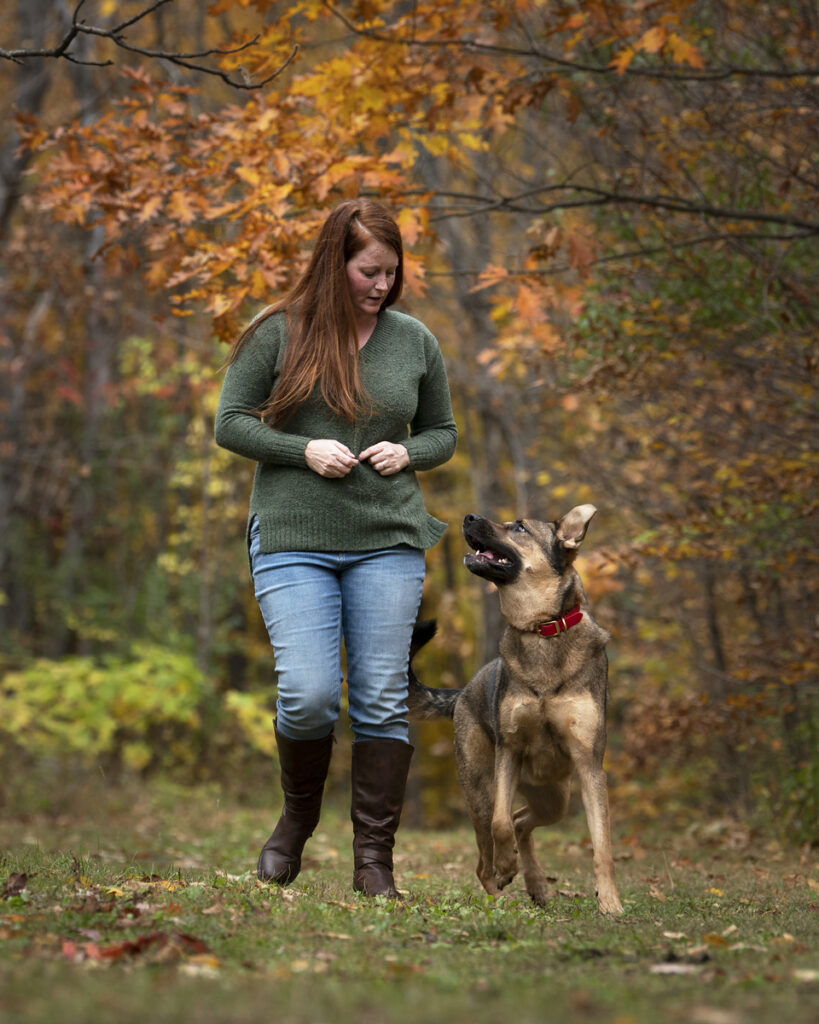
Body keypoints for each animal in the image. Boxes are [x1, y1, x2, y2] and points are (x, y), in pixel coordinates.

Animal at [405, 507, 622, 917]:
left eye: (519, 527)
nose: (468, 517)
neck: (542, 630)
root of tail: (462, 693)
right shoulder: (509, 752)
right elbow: (501, 823)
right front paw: (508, 867)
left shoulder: (589, 765)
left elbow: (602, 845)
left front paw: (610, 902)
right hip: (481, 789)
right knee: (488, 850)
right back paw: (502, 892)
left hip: (555, 798)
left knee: (524, 823)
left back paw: (535, 884)